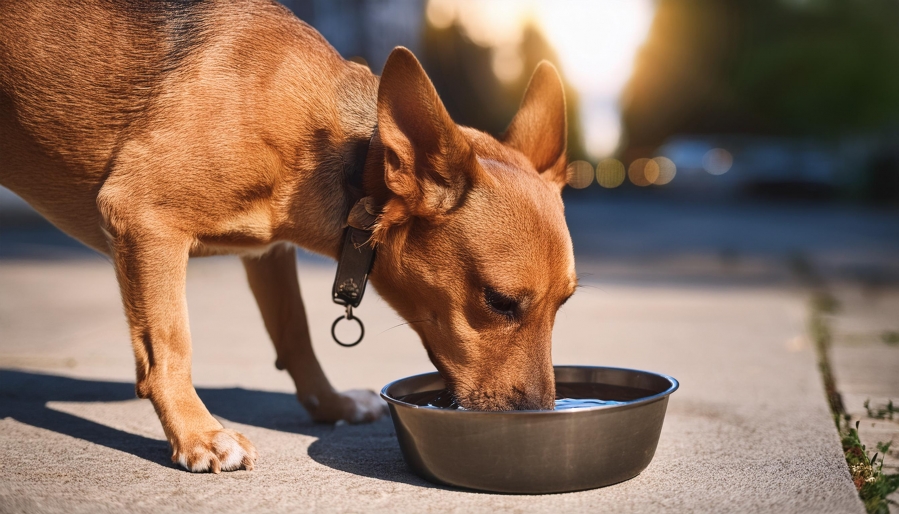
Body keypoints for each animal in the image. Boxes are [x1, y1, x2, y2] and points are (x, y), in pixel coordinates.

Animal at [0, 1, 576, 472]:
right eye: (499, 301)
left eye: (565, 304)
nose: (539, 416)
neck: (346, 161)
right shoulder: (143, 217)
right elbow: (170, 345)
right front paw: (197, 434)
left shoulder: (268, 253)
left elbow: (295, 333)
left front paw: (329, 405)